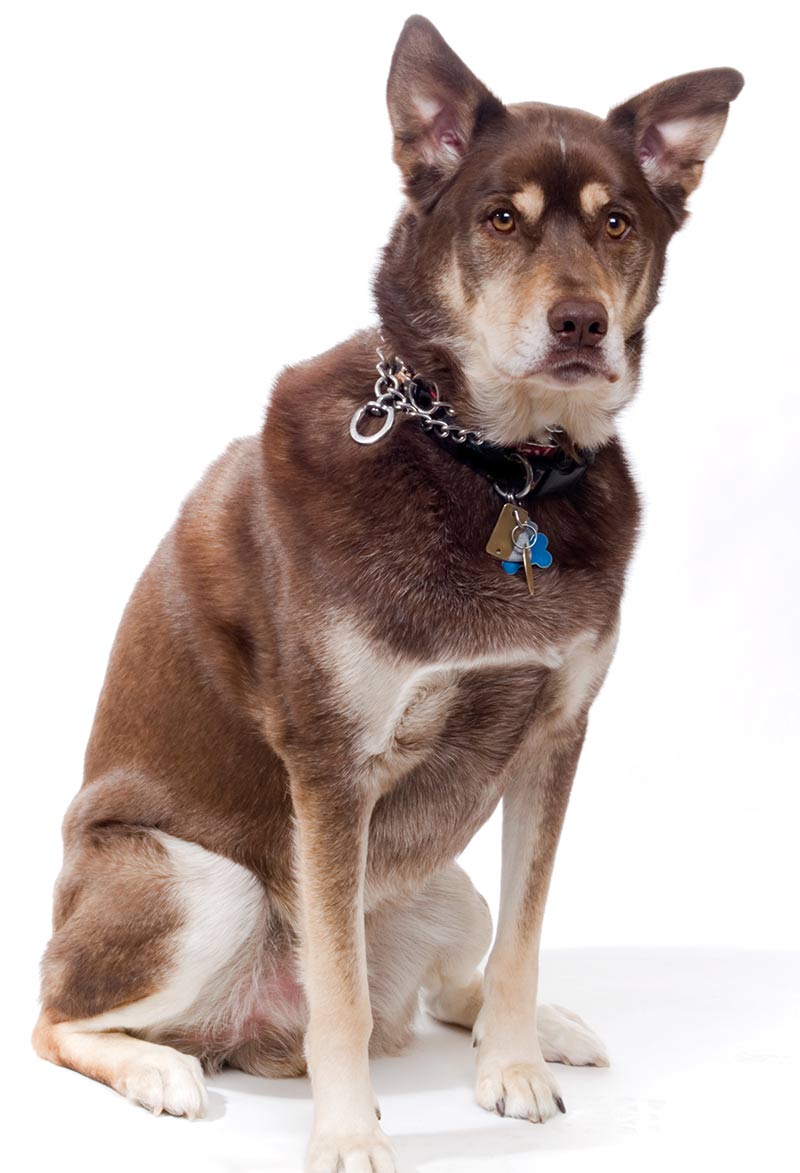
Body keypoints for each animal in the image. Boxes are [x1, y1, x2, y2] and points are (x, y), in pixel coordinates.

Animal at [32, 16, 741, 1173]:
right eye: (499, 217)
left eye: (617, 222)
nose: (581, 324)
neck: (496, 468)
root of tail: (245, 1034)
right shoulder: (331, 764)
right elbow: (343, 996)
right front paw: (348, 1133)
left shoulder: (554, 735)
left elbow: (524, 939)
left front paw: (513, 1070)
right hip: (204, 884)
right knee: (59, 1017)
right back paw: (160, 1071)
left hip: (444, 883)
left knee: (452, 976)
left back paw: (537, 1028)